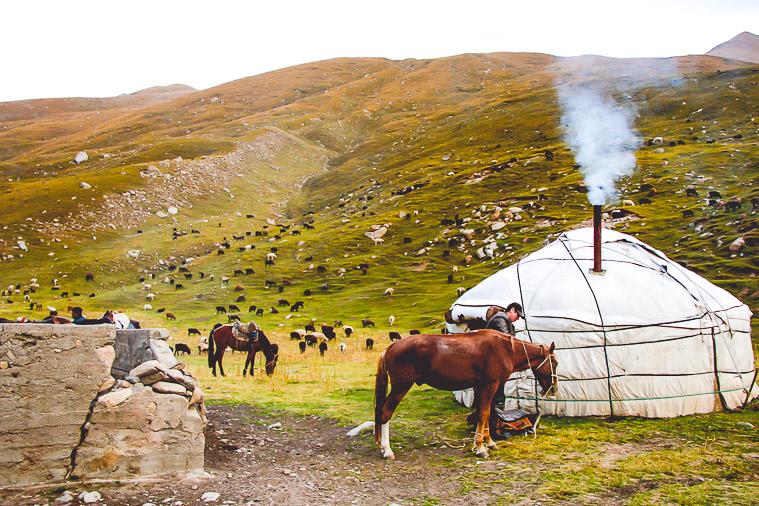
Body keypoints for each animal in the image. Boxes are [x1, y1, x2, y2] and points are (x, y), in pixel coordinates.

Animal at [374, 330, 560, 460]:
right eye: (555, 362)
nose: (553, 388)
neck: (506, 350)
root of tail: (391, 347)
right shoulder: (490, 385)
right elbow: (484, 413)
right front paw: (480, 447)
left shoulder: (483, 387)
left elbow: (487, 413)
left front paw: (489, 442)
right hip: (401, 386)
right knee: (385, 412)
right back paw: (387, 450)